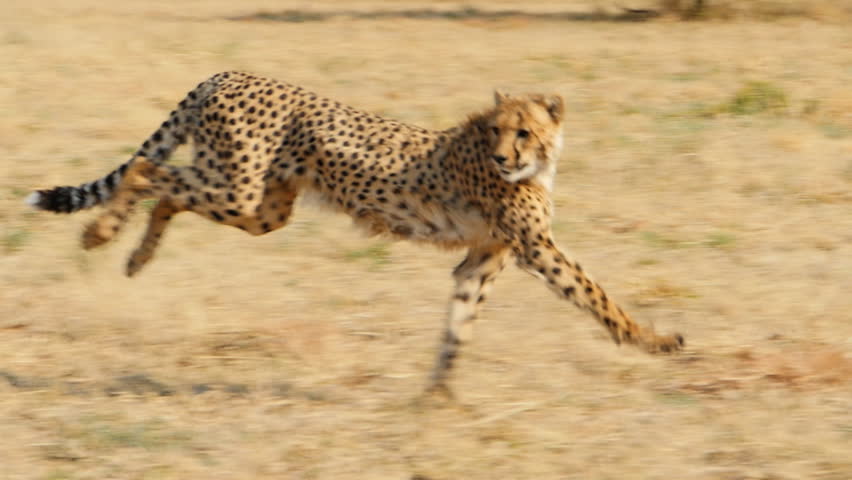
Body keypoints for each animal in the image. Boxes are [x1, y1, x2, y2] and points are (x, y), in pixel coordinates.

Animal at [26, 72, 684, 394]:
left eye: (522, 131)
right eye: (498, 130)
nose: (503, 158)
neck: (535, 165)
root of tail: (229, 72)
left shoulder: (481, 259)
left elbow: (458, 325)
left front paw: (436, 397)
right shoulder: (538, 249)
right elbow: (598, 297)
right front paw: (652, 339)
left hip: (262, 209)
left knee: (164, 191)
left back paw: (135, 257)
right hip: (237, 187)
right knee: (145, 170)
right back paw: (101, 233)